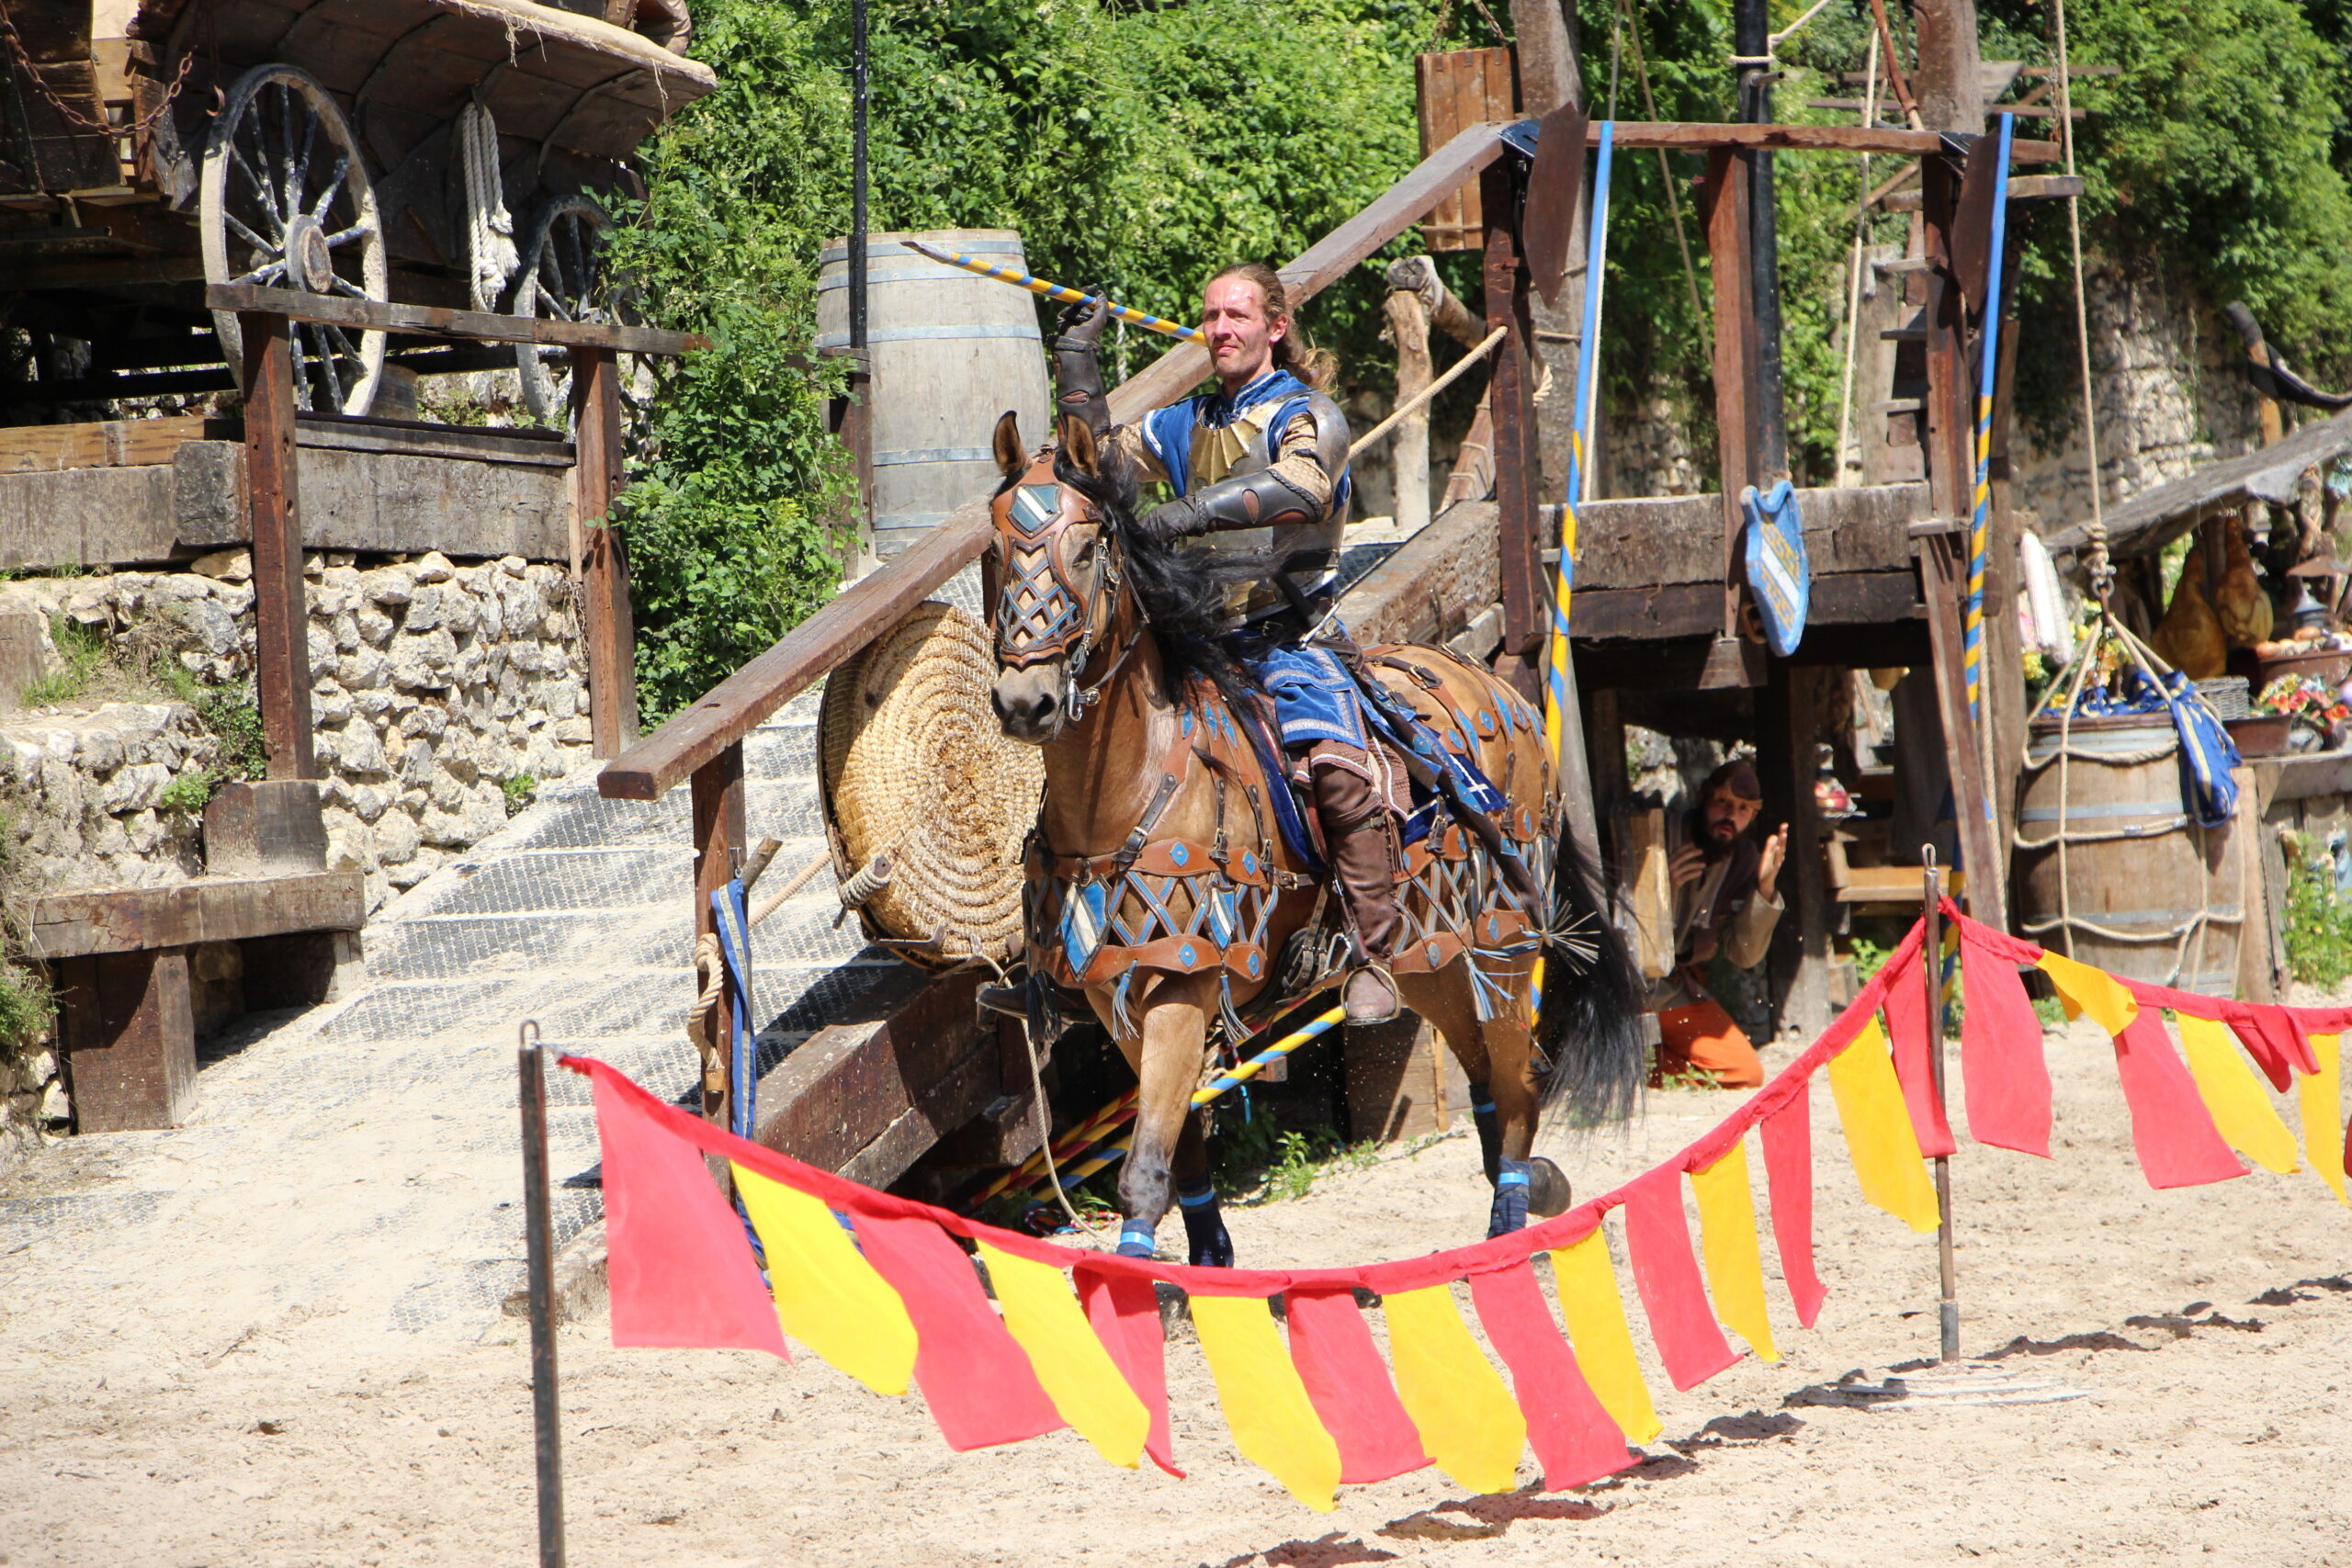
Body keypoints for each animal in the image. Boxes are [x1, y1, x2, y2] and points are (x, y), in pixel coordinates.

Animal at [985, 409, 1644, 1261]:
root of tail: (1502, 690)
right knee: (1485, 1081)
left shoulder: (1184, 983)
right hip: (1428, 955)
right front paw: (1210, 1260)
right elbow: (1178, 1144)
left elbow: (1146, 1163)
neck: (1131, 785)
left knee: (1519, 1082)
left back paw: (1507, 1228)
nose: (1024, 700)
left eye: (1091, 545)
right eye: (995, 549)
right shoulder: (1115, 991)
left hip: (1503, 938)